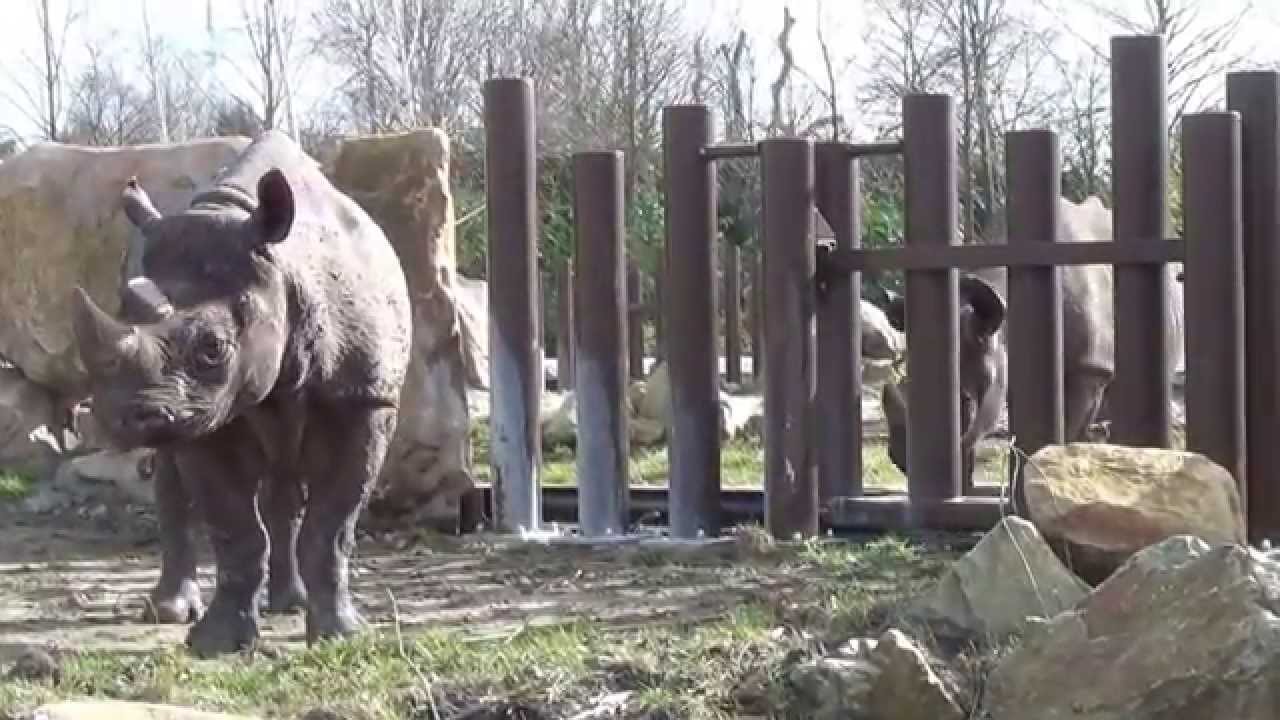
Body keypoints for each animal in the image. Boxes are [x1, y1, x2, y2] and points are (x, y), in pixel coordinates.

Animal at [70, 131, 412, 657]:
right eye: (122, 309)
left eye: (214, 348)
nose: (127, 416)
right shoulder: (202, 415)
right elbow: (234, 529)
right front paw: (217, 643)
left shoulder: (363, 398)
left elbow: (331, 529)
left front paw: (341, 637)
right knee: (173, 475)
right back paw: (170, 611)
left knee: (285, 487)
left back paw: (289, 604)